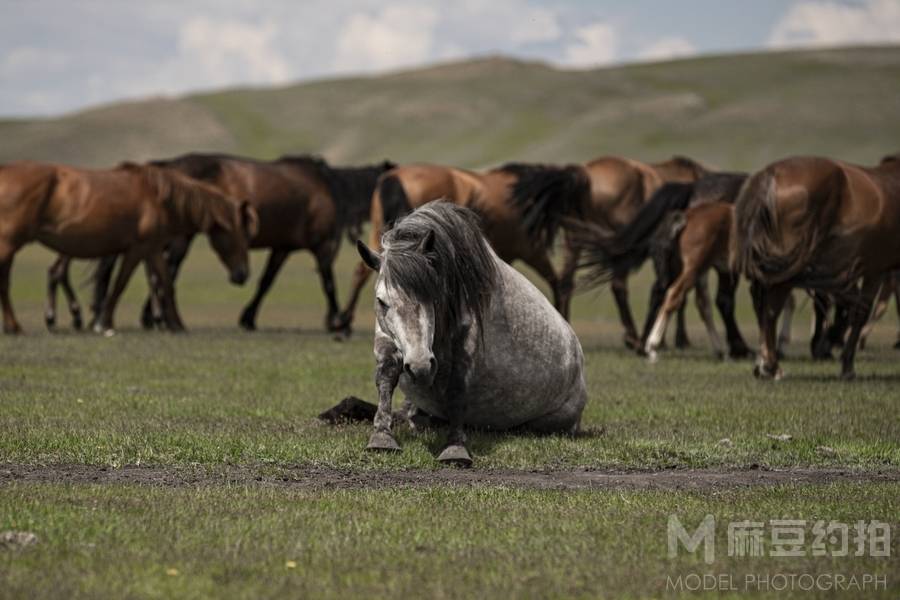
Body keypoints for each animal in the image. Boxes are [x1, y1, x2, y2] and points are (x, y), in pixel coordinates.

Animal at [0, 162, 256, 336]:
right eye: (240, 236)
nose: (242, 274)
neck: (160, 199)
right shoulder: (136, 249)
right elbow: (119, 285)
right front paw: (104, 323)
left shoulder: (153, 249)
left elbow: (166, 284)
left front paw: (176, 324)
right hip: (9, 244)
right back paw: (15, 326)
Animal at [44, 154, 390, 332]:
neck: (329, 187)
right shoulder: (321, 246)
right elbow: (328, 284)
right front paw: (337, 321)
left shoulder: (282, 248)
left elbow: (265, 282)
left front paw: (248, 317)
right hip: (179, 238)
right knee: (163, 271)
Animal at [332, 162, 592, 330]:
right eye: (576, 205)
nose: (579, 237)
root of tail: (394, 177)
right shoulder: (530, 250)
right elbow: (555, 283)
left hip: (378, 233)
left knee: (360, 271)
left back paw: (343, 323)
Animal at [356, 199, 588, 466]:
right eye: (381, 301)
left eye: (434, 296)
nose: (420, 367)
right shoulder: (385, 337)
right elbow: (386, 375)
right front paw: (382, 435)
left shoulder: (466, 345)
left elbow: (458, 388)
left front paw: (455, 446)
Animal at [732, 155, 900, 380]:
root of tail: (771, 175)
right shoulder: (875, 269)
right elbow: (861, 312)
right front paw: (847, 366)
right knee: (771, 308)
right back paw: (771, 367)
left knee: (762, 303)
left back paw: (765, 364)